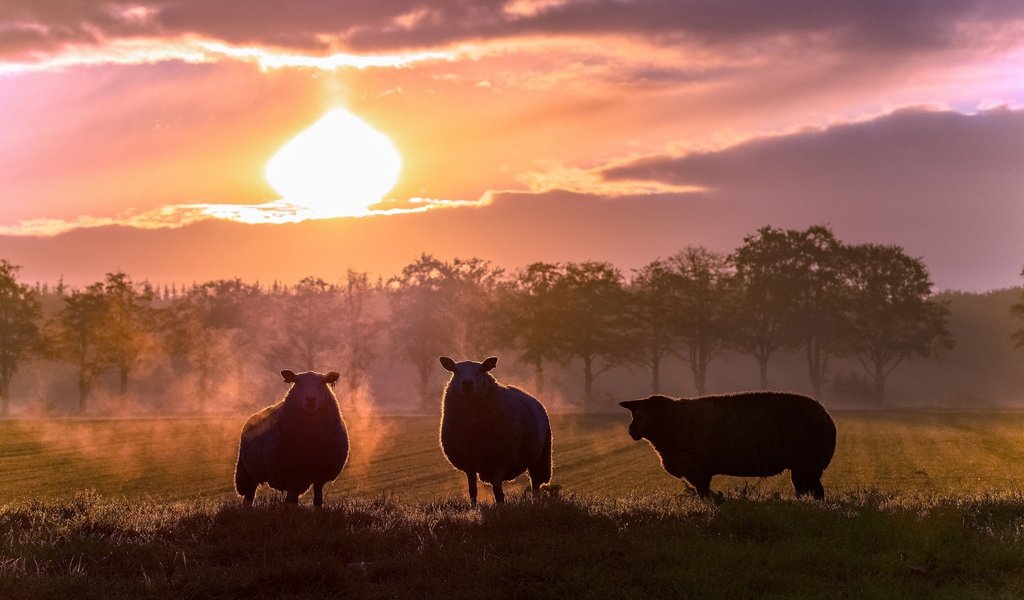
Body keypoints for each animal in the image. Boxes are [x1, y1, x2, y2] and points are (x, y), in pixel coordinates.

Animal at [234, 368, 350, 503]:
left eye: (322, 383)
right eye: (298, 383)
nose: (310, 399)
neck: (311, 440)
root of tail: (253, 416)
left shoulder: (320, 474)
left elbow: (317, 500)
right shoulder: (291, 474)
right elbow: (291, 501)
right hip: (246, 473)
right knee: (248, 497)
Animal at [438, 354, 552, 503]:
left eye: (480, 370)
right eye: (455, 371)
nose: (467, 383)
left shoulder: (499, 461)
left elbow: (498, 491)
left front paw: (500, 506)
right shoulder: (469, 462)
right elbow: (472, 491)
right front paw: (473, 507)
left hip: (541, 457)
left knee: (535, 484)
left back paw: (536, 501)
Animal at [618, 389, 835, 497]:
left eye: (644, 415)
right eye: (634, 413)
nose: (631, 431)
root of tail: (826, 416)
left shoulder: (697, 468)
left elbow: (704, 494)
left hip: (807, 465)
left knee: (814, 492)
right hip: (805, 467)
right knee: (810, 491)